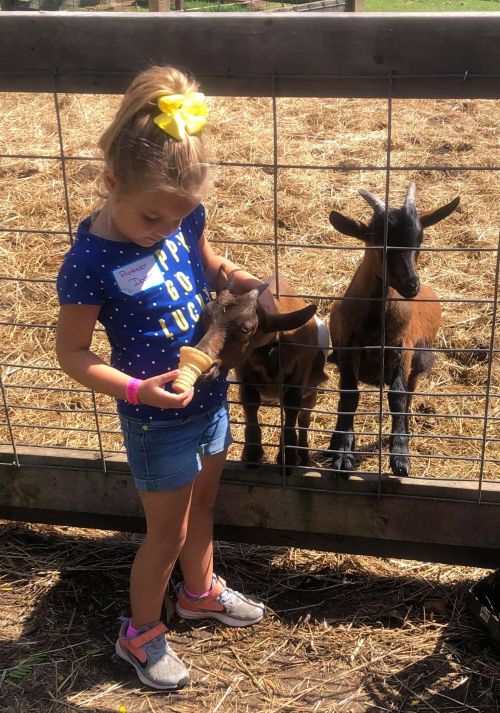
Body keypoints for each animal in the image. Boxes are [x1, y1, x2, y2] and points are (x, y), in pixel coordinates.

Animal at [197, 268, 330, 468]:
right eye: (206, 314)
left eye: (246, 329)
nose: (203, 361)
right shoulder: (244, 374)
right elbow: (250, 403)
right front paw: (252, 454)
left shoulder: (300, 376)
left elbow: (292, 408)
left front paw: (289, 457)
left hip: (312, 388)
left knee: (304, 417)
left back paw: (304, 455)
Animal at [328, 181, 460, 476]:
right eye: (378, 241)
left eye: (419, 240)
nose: (411, 285)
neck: (375, 325)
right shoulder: (348, 349)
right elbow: (349, 396)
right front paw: (342, 452)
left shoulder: (402, 349)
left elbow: (397, 398)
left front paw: (400, 456)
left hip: (418, 365)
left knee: (409, 396)